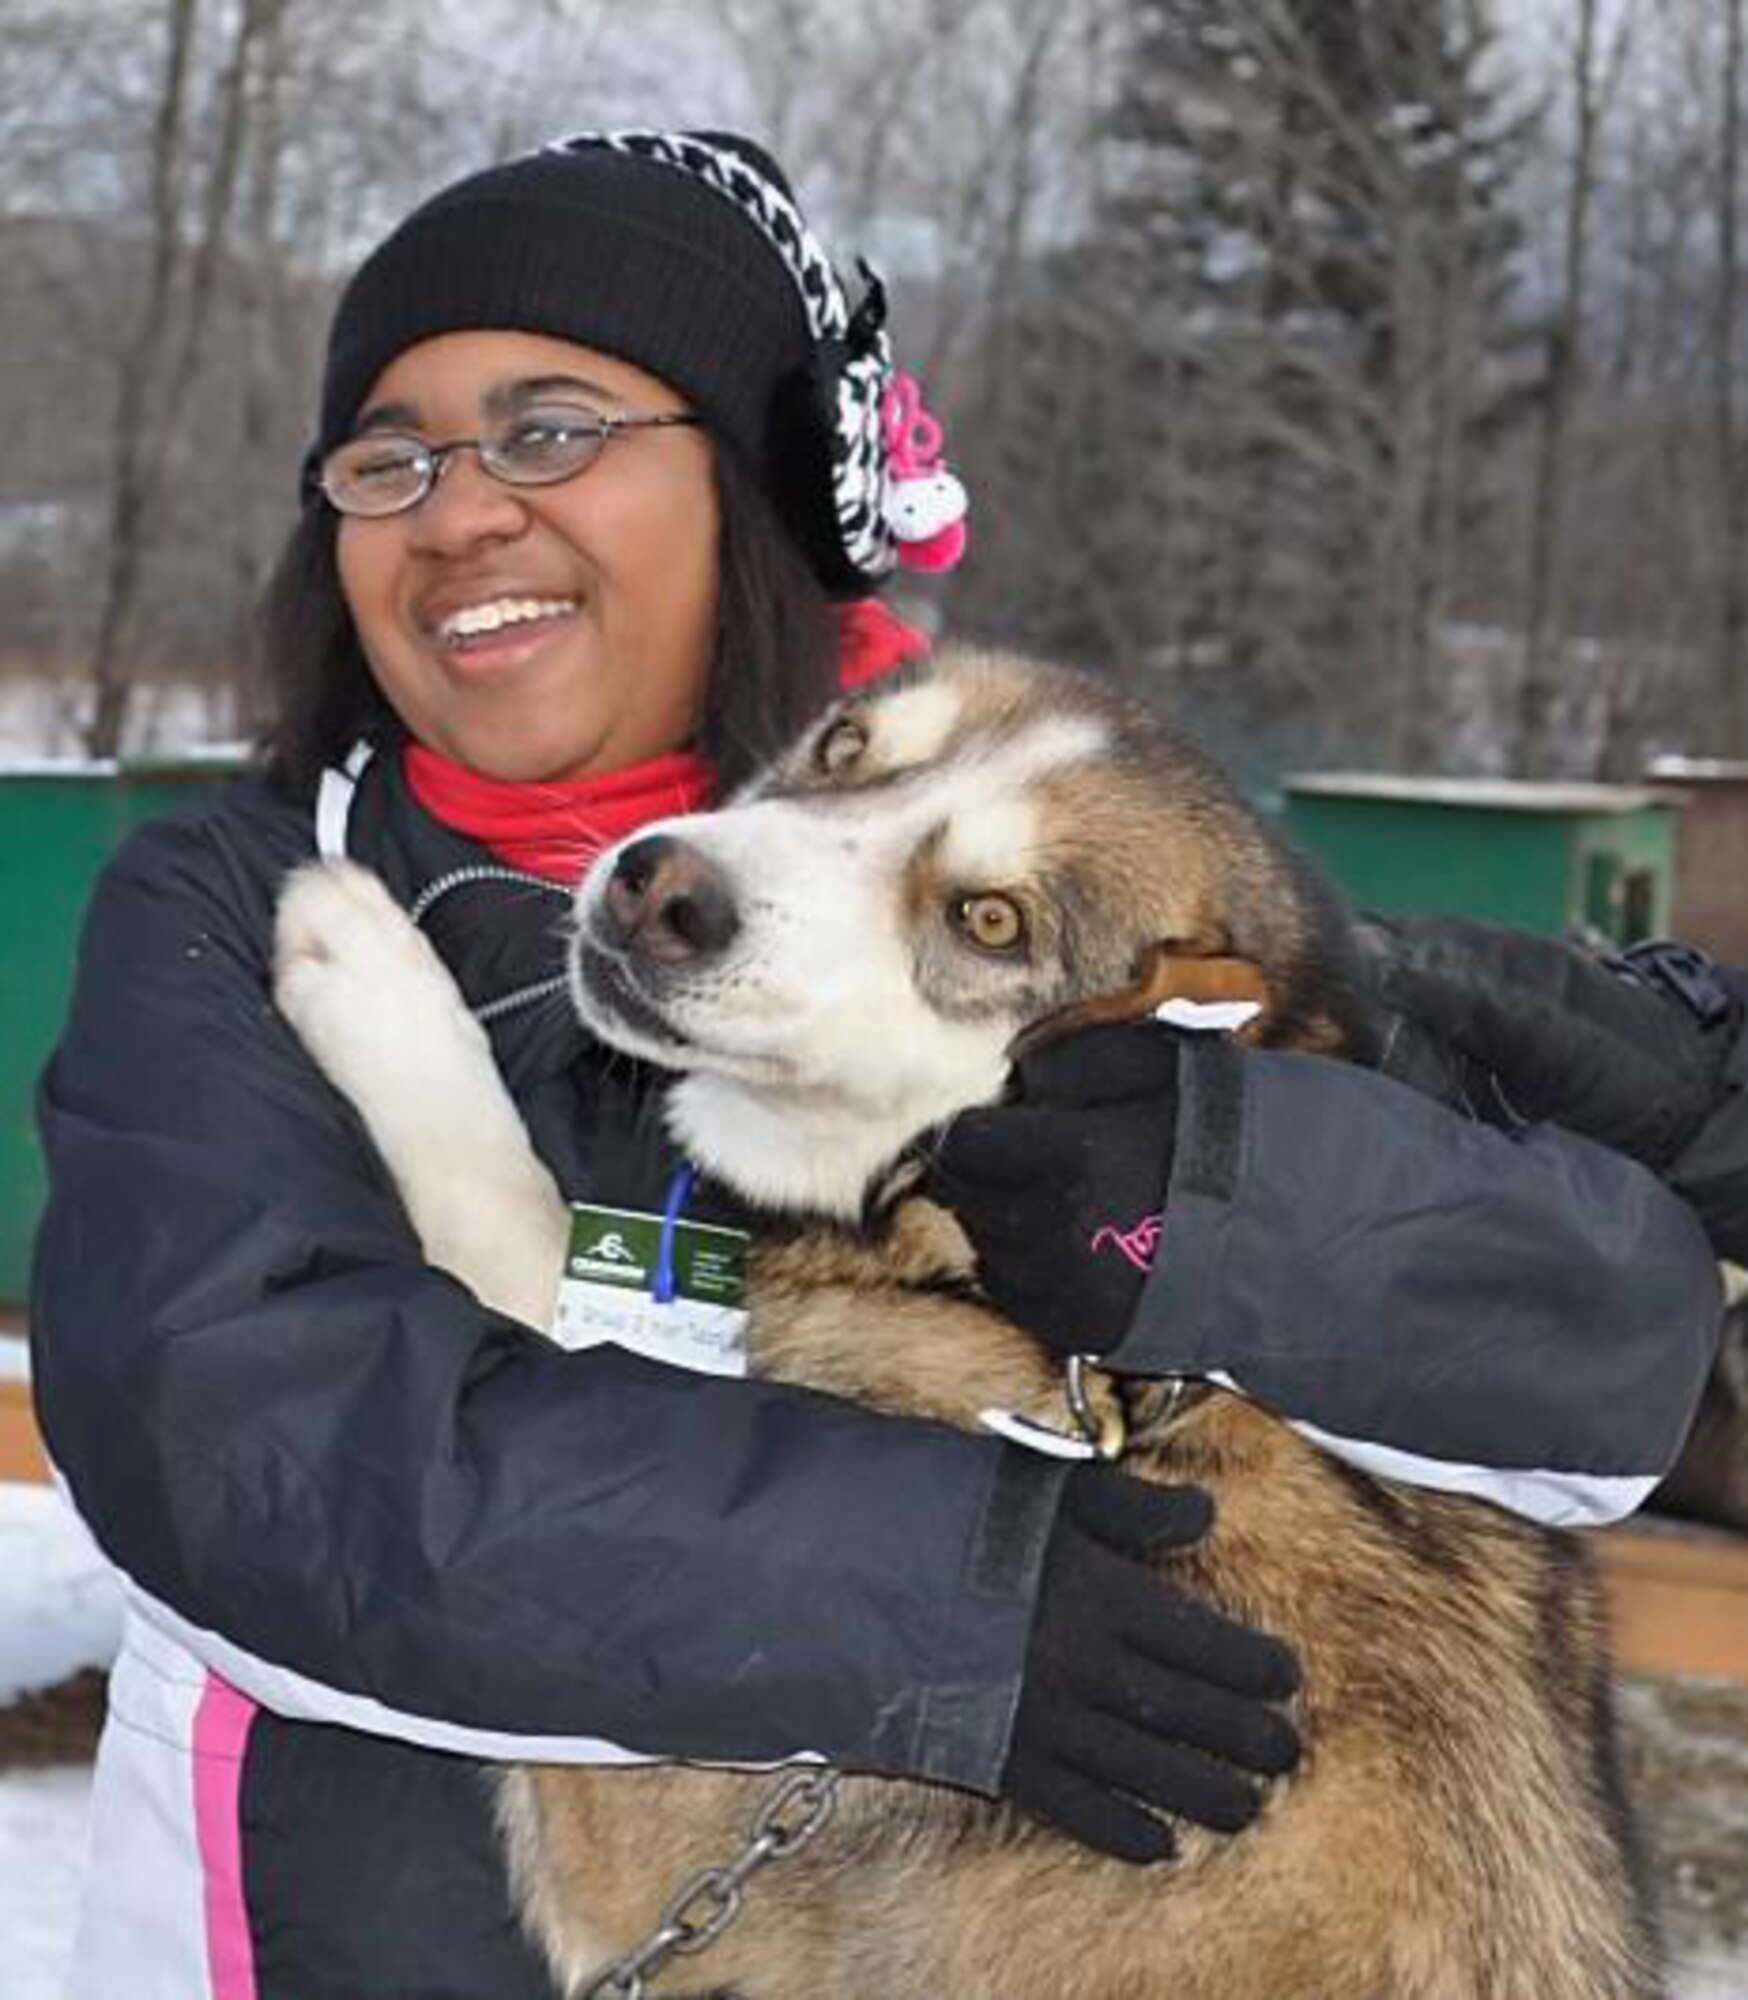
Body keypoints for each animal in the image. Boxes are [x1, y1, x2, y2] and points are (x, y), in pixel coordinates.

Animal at [280, 648, 1656, 1992]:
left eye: (987, 921)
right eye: (843, 746)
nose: (658, 886)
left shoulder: (646, 1839)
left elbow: (507, 1216)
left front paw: (365, 964)